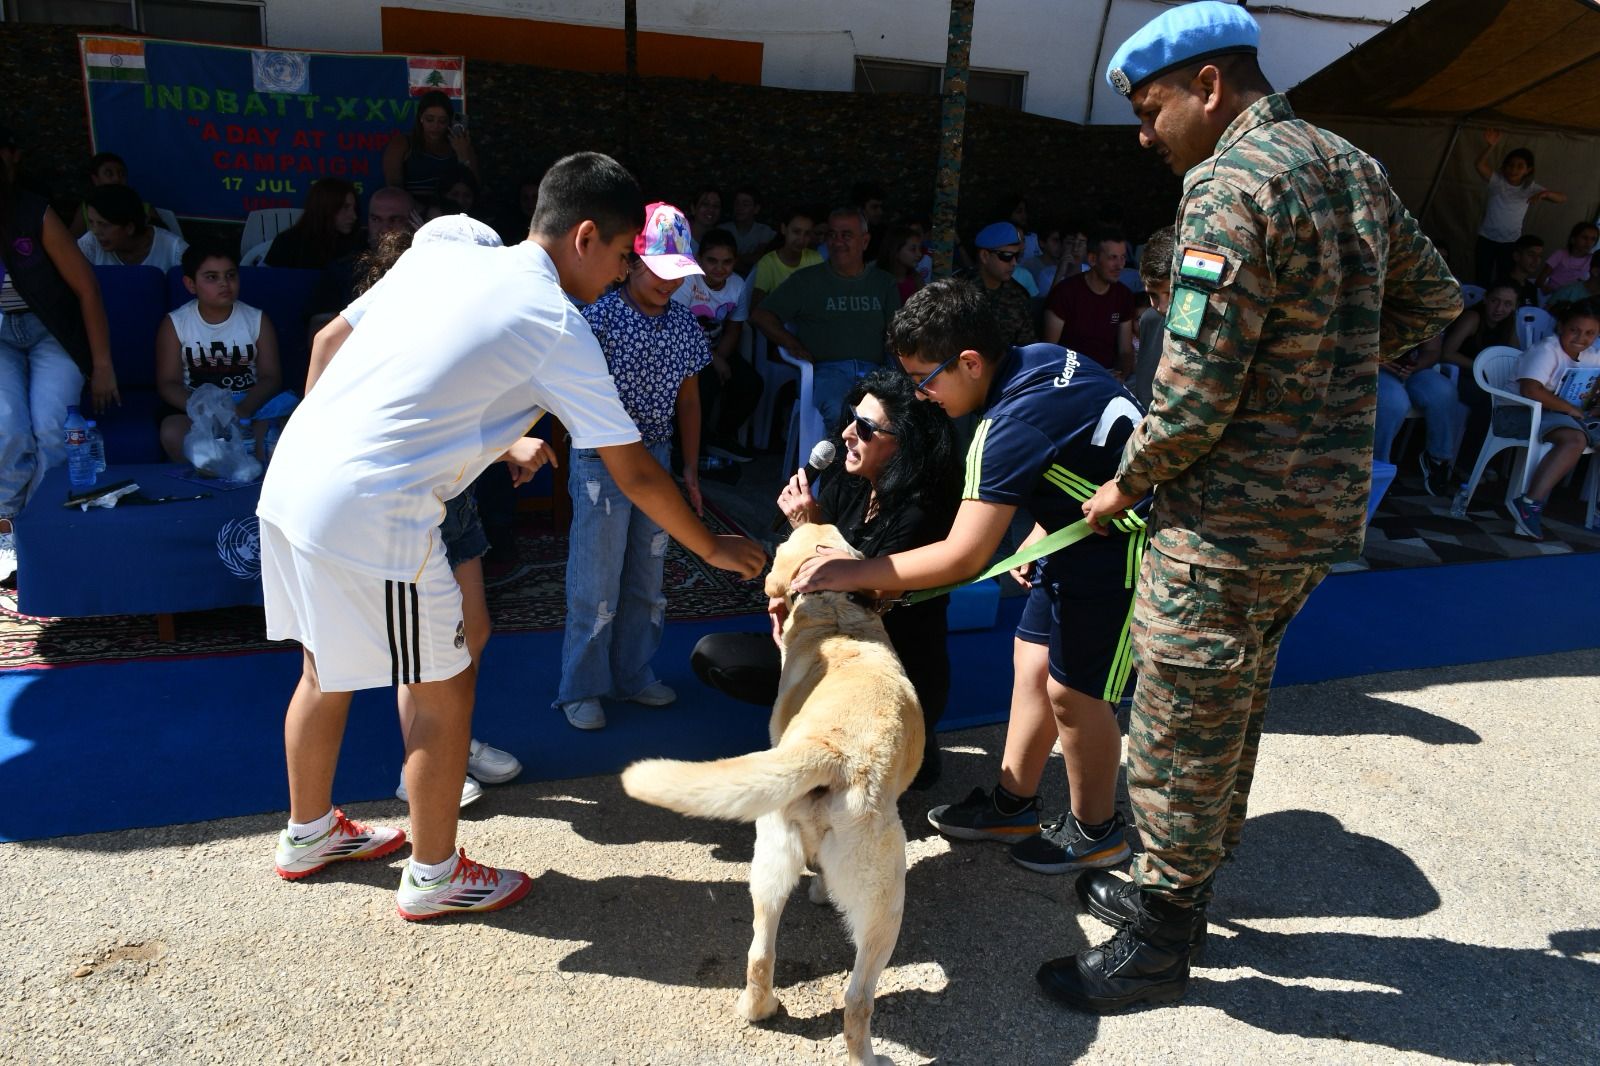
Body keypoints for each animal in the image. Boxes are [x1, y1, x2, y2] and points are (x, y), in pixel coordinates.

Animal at [621, 522, 924, 1066]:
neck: (834, 613)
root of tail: (829, 749)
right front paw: (822, 892)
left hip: (768, 861)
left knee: (760, 952)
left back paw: (758, 1009)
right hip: (886, 901)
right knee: (857, 998)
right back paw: (868, 1056)